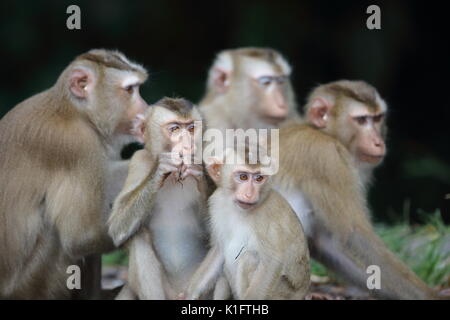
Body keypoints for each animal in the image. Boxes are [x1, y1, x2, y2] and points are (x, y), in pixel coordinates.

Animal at [0, 48, 148, 298]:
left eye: (137, 88)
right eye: (130, 90)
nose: (146, 108)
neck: (75, 112)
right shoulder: (76, 145)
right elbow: (82, 236)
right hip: (28, 286)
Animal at [108, 97, 208, 300]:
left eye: (191, 128)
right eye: (175, 129)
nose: (188, 145)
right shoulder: (138, 161)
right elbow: (117, 227)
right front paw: (161, 169)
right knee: (138, 235)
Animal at [185, 148, 312, 300]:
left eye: (259, 178)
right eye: (243, 177)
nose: (249, 194)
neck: (239, 210)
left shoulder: (266, 215)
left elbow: (272, 261)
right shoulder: (217, 202)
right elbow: (219, 250)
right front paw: (188, 294)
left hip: (282, 293)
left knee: (249, 258)